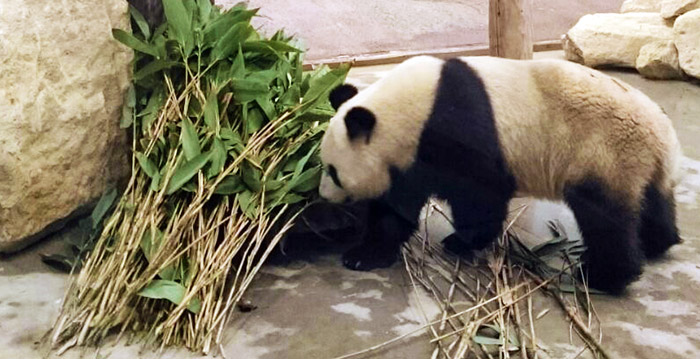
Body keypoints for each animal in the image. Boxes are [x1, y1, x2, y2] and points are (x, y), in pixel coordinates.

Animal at [320, 54, 680, 296]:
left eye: (333, 172)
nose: (323, 196)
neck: (412, 106)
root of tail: (662, 135)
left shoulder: (454, 131)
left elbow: (479, 194)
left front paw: (459, 241)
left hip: (602, 153)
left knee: (604, 217)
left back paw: (603, 275)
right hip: (638, 165)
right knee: (653, 203)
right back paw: (658, 243)